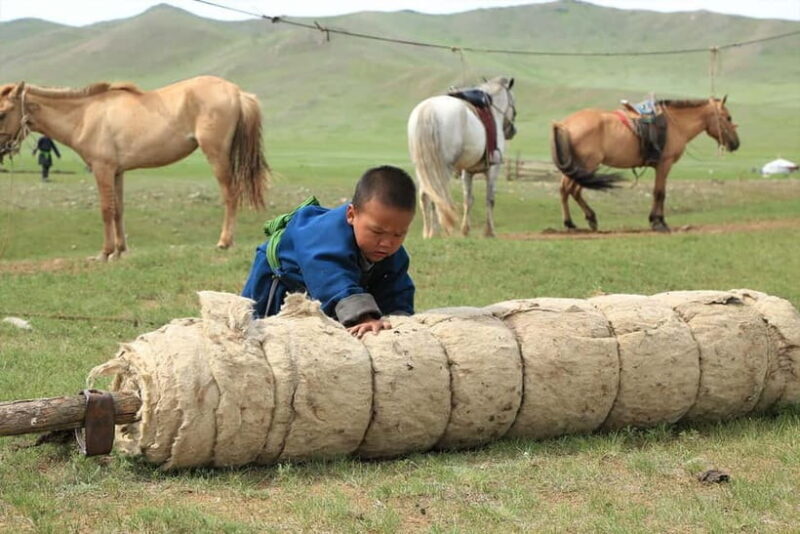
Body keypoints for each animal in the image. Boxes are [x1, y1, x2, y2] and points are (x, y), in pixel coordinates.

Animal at [0, 75, 269, 260]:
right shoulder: (117, 172)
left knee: (230, 195)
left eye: (2, 113)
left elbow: (106, 209)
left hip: (217, 155)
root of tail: (236, 92)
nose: (1, 149)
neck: (85, 115)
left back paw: (224, 242)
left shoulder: (103, 170)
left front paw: (105, 252)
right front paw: (120, 250)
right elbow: (118, 210)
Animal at [407, 76, 517, 238]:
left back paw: (428, 232)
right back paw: (436, 232)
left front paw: (465, 230)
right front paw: (489, 231)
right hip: (441, 168)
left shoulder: (467, 171)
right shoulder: (493, 168)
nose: (512, 131)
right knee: (436, 196)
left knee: (425, 195)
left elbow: (468, 200)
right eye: (513, 101)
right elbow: (490, 199)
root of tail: (428, 110)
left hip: (423, 167)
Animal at [551, 97, 739, 232]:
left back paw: (582, 220)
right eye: (728, 117)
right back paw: (574, 222)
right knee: (570, 190)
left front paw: (656, 220)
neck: (676, 124)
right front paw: (659, 223)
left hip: (576, 168)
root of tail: (564, 124)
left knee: (567, 190)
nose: (736, 143)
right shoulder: (664, 164)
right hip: (586, 166)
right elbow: (659, 193)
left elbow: (659, 192)